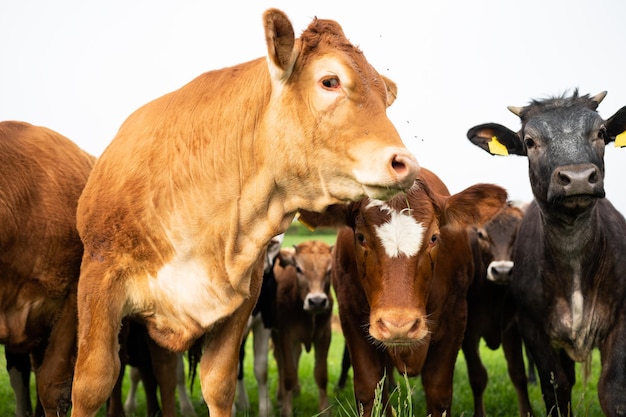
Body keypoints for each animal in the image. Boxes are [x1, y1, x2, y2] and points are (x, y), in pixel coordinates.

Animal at [270, 239, 334, 416]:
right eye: (298, 268)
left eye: (329, 270)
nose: (317, 301)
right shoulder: (286, 335)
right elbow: (289, 374)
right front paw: (286, 410)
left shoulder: (324, 335)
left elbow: (321, 375)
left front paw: (325, 410)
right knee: (280, 362)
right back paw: (281, 396)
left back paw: (296, 391)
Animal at [298, 167, 508, 414]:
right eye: (360, 237)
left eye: (434, 237)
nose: (398, 326)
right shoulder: (350, 316)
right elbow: (369, 390)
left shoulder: (456, 317)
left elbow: (439, 392)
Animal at [466, 90, 624, 416]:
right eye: (529, 142)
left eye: (601, 133)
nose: (577, 177)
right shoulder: (533, 329)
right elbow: (556, 389)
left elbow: (613, 390)